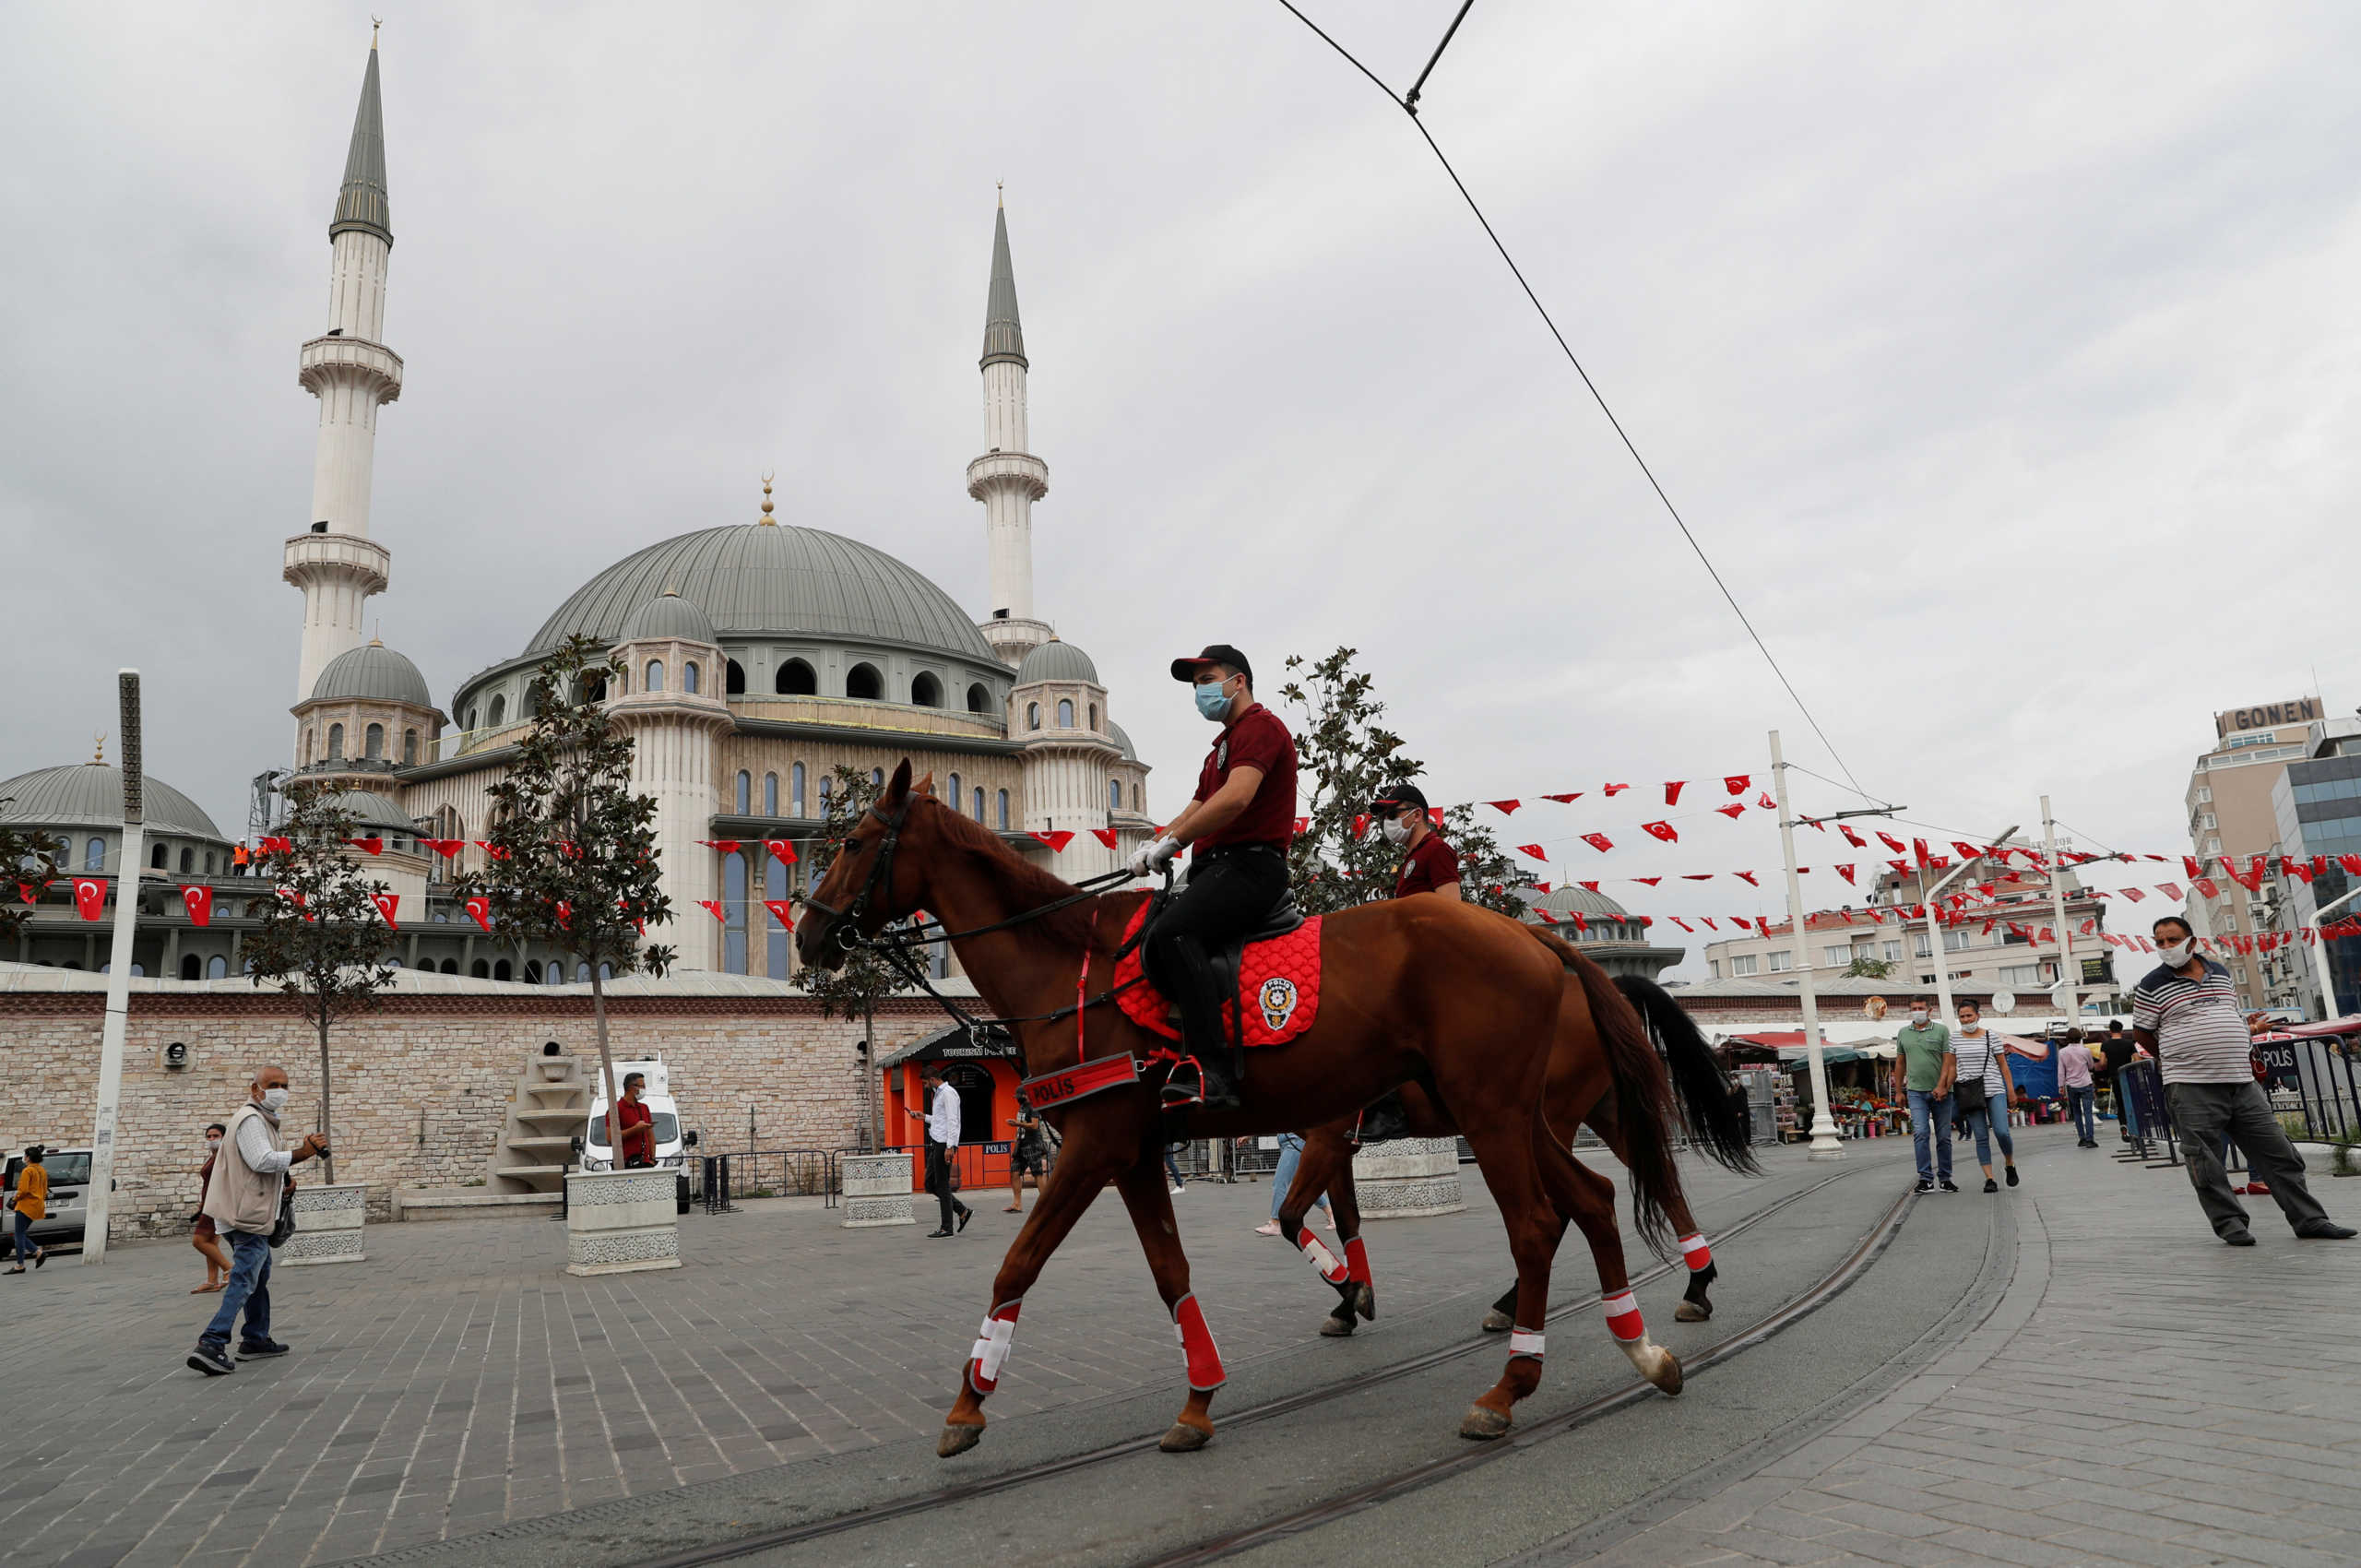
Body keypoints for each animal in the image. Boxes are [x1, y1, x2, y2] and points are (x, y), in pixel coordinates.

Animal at [802, 765, 1690, 1455]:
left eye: (853, 843)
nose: (809, 934)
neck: (1070, 969)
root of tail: (1540, 940)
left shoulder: (1096, 1146)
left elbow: (1017, 1264)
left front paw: (969, 1402)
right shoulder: (1136, 1152)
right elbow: (1174, 1272)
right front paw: (1200, 1399)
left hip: (1494, 1113)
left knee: (1540, 1223)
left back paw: (1512, 1384)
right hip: (1520, 1114)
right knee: (1594, 1198)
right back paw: (1642, 1345)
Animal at [1275, 963, 1756, 1341]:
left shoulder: (1326, 1139)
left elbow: (1291, 1216)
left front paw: (1347, 1291)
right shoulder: (1337, 1143)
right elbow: (1348, 1221)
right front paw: (1351, 1301)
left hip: (1546, 1120)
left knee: (1562, 1208)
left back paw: (1511, 1304)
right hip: (1605, 1114)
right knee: (1661, 1181)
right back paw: (1697, 1286)